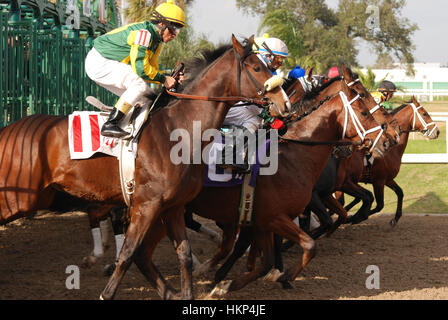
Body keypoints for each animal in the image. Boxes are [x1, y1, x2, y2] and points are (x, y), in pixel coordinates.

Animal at [0, 35, 290, 300]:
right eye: (257, 68)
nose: (284, 103)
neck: (178, 129)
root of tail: (8, 130)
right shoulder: (146, 205)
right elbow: (128, 253)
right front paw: (107, 293)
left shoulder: (173, 207)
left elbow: (183, 255)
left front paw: (184, 293)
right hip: (19, 197)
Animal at [342, 97, 440, 225]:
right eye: (424, 113)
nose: (437, 131)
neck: (392, 147)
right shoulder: (378, 181)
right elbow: (379, 205)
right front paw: (355, 217)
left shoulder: (387, 179)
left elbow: (400, 192)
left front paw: (396, 217)